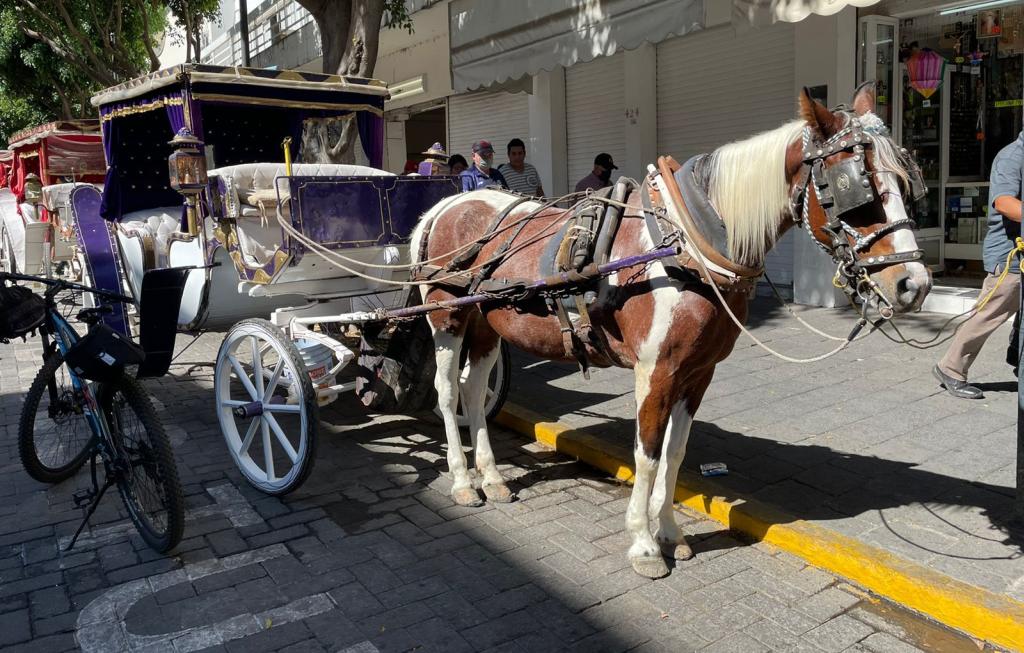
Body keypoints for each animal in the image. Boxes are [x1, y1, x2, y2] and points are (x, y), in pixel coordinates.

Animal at [409, 84, 937, 581]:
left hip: (486, 325)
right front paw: (643, 545)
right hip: (446, 318)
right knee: (446, 392)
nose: (914, 284)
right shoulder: (656, 371)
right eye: (855, 188)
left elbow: (675, 453)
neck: (687, 247)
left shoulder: (697, 373)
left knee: (474, 392)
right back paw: (462, 481)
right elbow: (645, 454)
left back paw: (492, 477)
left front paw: (669, 531)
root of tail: (447, 204)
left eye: (906, 180)